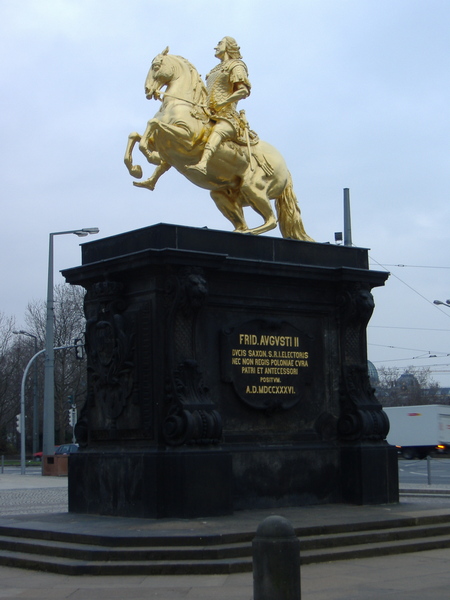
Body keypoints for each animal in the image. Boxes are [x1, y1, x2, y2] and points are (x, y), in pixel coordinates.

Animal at [123, 48, 312, 241]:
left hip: (253, 188)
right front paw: (136, 170)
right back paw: (238, 231)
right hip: (222, 194)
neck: (180, 104)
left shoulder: (186, 138)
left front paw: (148, 156)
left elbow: (152, 124)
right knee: (242, 222)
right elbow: (136, 136)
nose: (148, 90)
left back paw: (249, 233)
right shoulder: (163, 144)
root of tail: (286, 169)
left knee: (271, 221)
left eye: (156, 66)